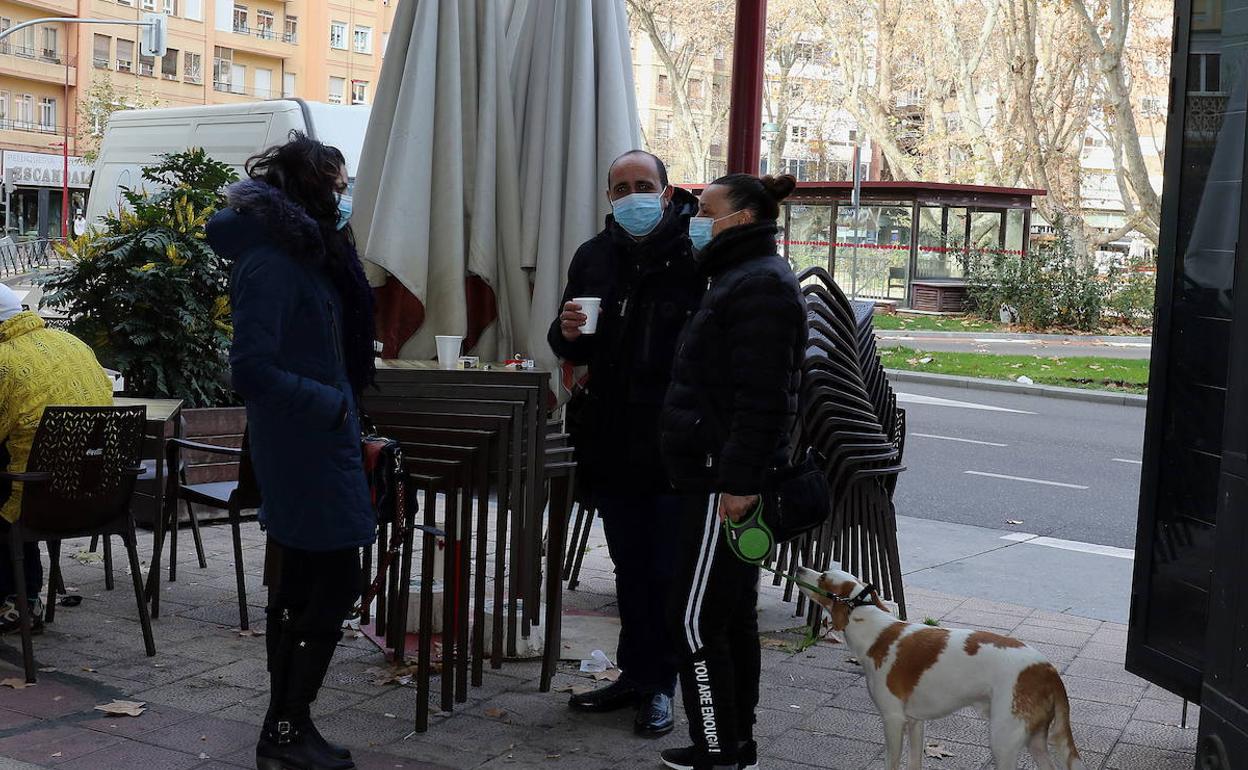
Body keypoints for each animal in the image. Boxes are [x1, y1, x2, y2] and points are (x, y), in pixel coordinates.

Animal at [798, 564, 1083, 768]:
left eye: (823, 576)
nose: (799, 568)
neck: (874, 630)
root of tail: (1047, 670)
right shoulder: (915, 722)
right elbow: (914, 763)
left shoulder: (892, 720)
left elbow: (892, 762)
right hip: (1034, 741)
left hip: (1003, 740)